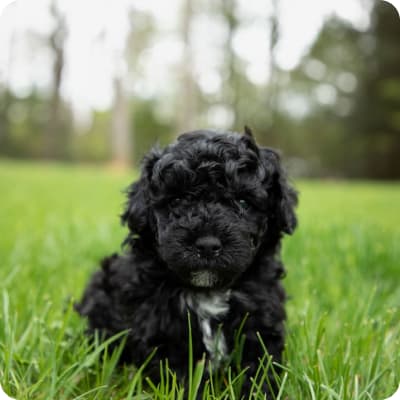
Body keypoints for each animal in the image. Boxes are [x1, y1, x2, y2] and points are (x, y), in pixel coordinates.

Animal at [77, 128, 296, 396]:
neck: (208, 290)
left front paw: (259, 391)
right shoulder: (163, 333)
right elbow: (179, 376)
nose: (207, 244)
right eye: (178, 200)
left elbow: (260, 366)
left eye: (244, 202)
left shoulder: (260, 317)